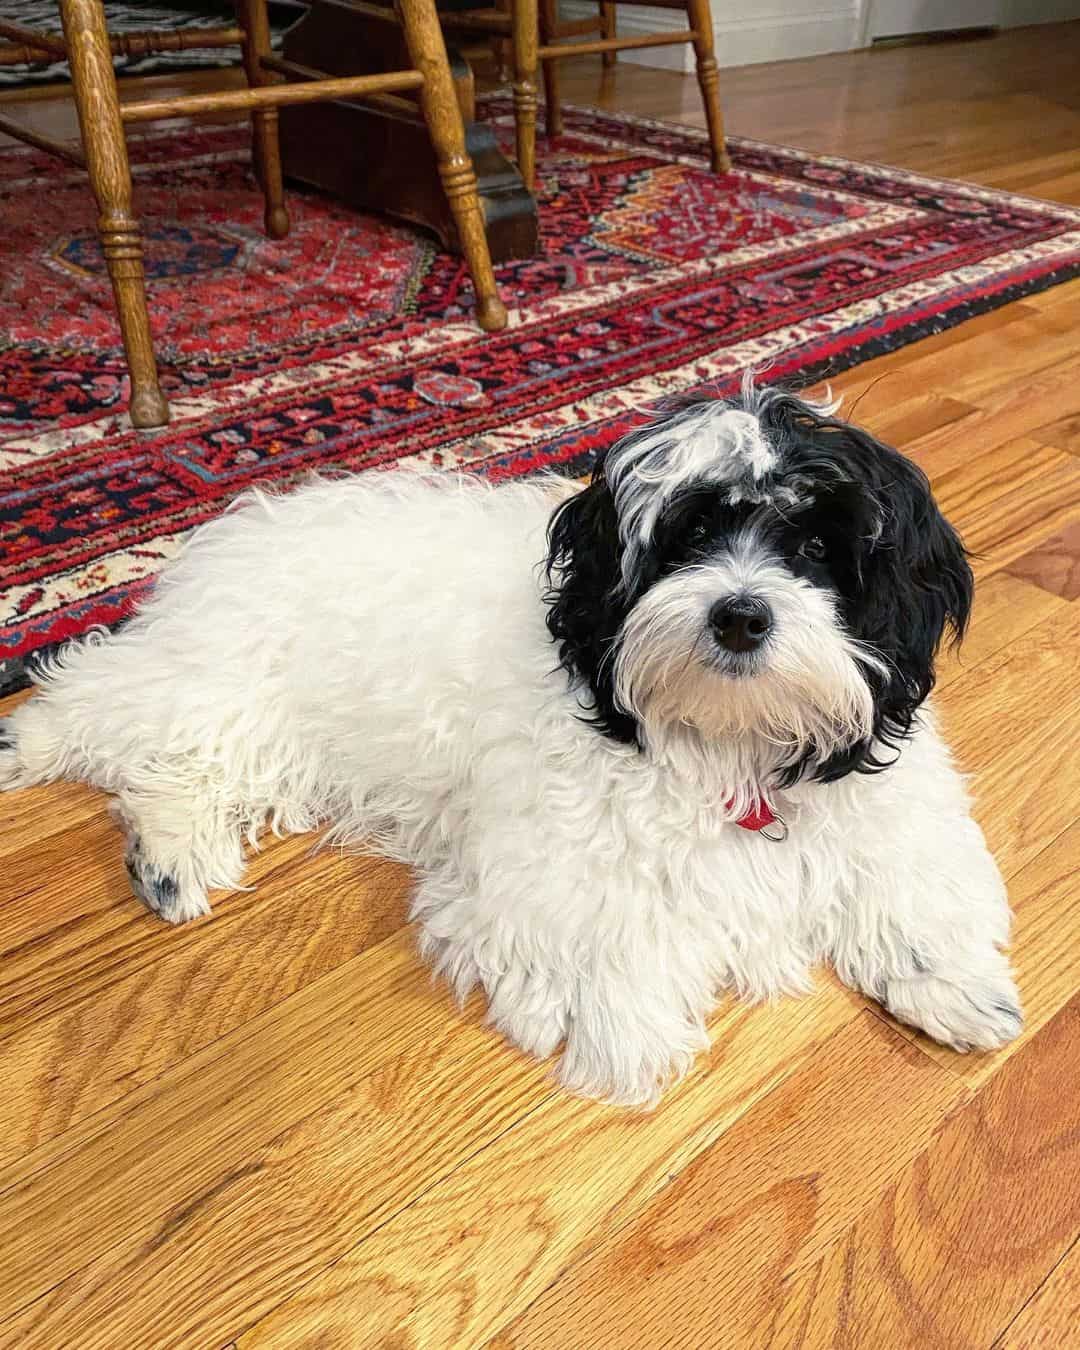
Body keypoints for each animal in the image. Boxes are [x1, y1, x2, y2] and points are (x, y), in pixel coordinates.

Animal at [0, 386, 1020, 1101]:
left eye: (815, 548)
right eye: (688, 535)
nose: (739, 615)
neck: (728, 739)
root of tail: (234, 533)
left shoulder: (890, 814)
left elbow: (915, 887)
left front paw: (958, 984)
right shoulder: (555, 854)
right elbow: (606, 931)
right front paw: (624, 1028)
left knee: (177, 769)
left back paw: (172, 858)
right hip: (231, 680)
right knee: (95, 699)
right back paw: (32, 746)